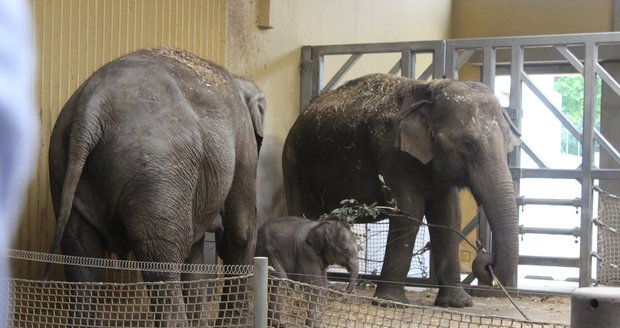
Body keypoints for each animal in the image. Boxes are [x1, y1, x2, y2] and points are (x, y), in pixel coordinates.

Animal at [46, 46, 264, 326]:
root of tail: (91, 107)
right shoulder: (243, 144)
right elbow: (241, 231)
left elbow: (196, 253)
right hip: (159, 173)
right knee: (161, 263)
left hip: (63, 166)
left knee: (81, 257)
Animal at [284, 73, 520, 308]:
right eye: (467, 144)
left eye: (507, 144)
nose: (487, 262)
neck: (427, 91)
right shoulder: (390, 152)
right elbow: (409, 212)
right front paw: (390, 302)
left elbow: (449, 216)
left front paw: (458, 303)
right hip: (292, 162)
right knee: (299, 212)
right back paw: (300, 287)